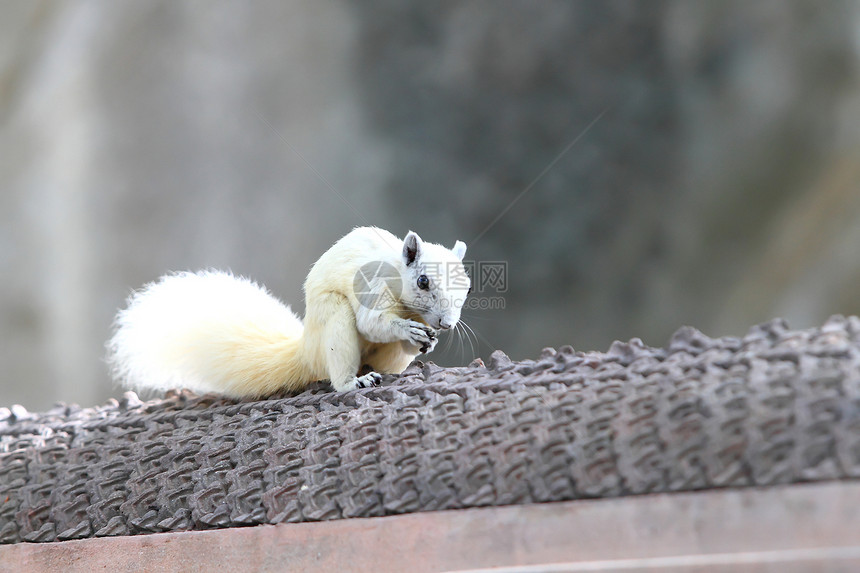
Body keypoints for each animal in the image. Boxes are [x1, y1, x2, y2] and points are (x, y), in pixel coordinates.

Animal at [108, 227, 474, 398]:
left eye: (468, 288)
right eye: (423, 281)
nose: (446, 323)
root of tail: (307, 351)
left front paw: (427, 340)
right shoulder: (369, 285)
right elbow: (372, 323)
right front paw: (407, 329)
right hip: (333, 322)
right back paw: (353, 381)